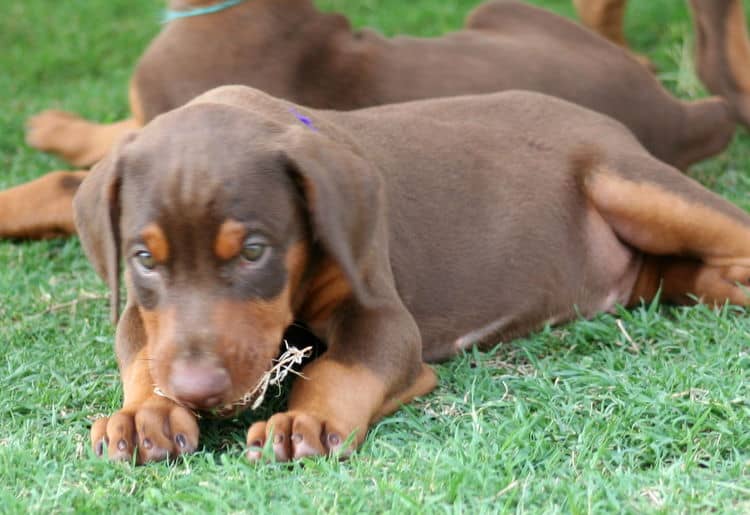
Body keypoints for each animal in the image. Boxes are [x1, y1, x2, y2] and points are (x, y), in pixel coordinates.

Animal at [73, 86, 750, 466]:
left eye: (254, 252)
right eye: (143, 259)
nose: (196, 391)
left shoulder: (381, 314)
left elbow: (343, 366)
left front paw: (305, 422)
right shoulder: (139, 312)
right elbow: (142, 351)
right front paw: (144, 415)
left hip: (628, 181)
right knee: (670, 272)